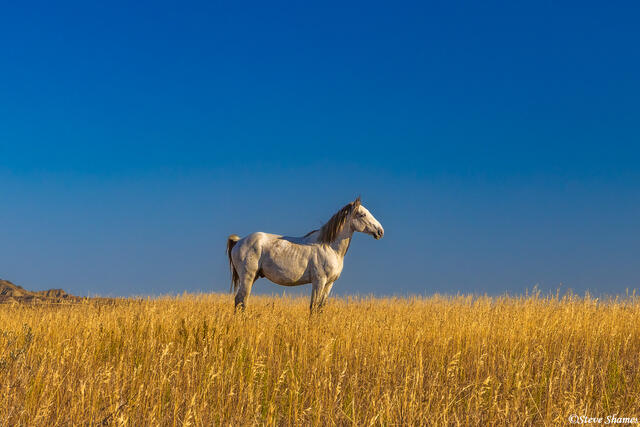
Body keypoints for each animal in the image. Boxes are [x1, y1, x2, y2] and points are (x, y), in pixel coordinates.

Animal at [226, 197, 384, 312]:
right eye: (362, 214)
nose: (380, 231)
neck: (330, 247)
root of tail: (239, 241)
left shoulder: (329, 284)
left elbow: (320, 308)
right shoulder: (319, 281)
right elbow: (313, 307)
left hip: (253, 277)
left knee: (239, 301)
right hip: (248, 276)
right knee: (241, 300)